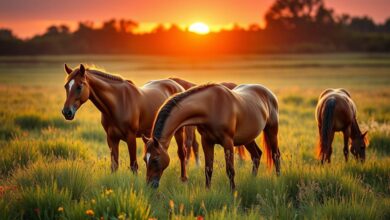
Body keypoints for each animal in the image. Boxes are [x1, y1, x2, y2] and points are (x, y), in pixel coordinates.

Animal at [143, 83, 280, 190]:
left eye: (155, 159)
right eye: (145, 159)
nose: (149, 185)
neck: (211, 106)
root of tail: (268, 93)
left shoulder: (228, 142)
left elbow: (230, 170)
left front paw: (233, 193)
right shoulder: (207, 141)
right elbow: (208, 169)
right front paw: (207, 190)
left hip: (271, 130)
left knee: (275, 155)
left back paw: (278, 178)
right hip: (247, 138)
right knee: (256, 155)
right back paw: (252, 180)